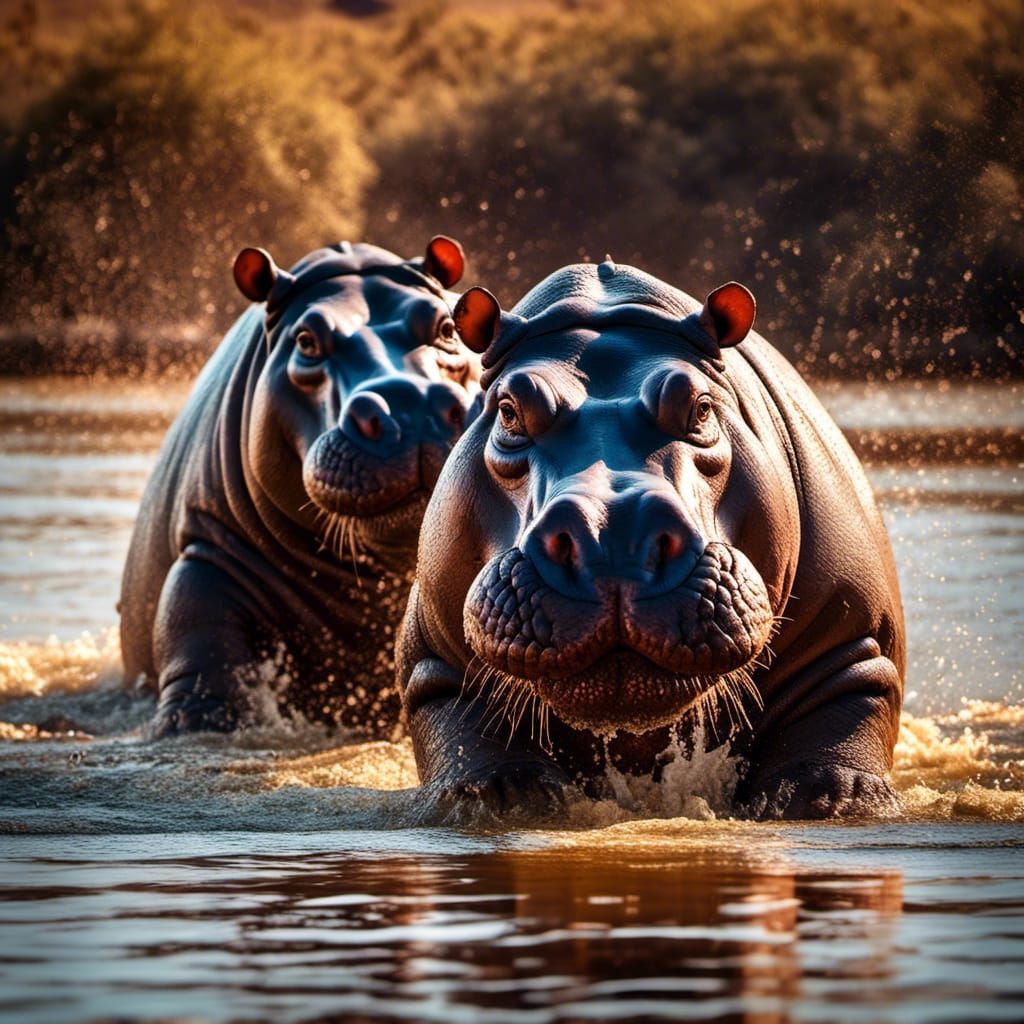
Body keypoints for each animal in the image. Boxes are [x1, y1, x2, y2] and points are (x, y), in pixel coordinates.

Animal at [397, 259, 905, 819]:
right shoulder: (437, 663)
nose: (612, 531)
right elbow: (476, 748)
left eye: (701, 407)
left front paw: (833, 796)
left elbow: (835, 735)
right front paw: (506, 795)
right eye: (509, 410)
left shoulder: (850, 643)